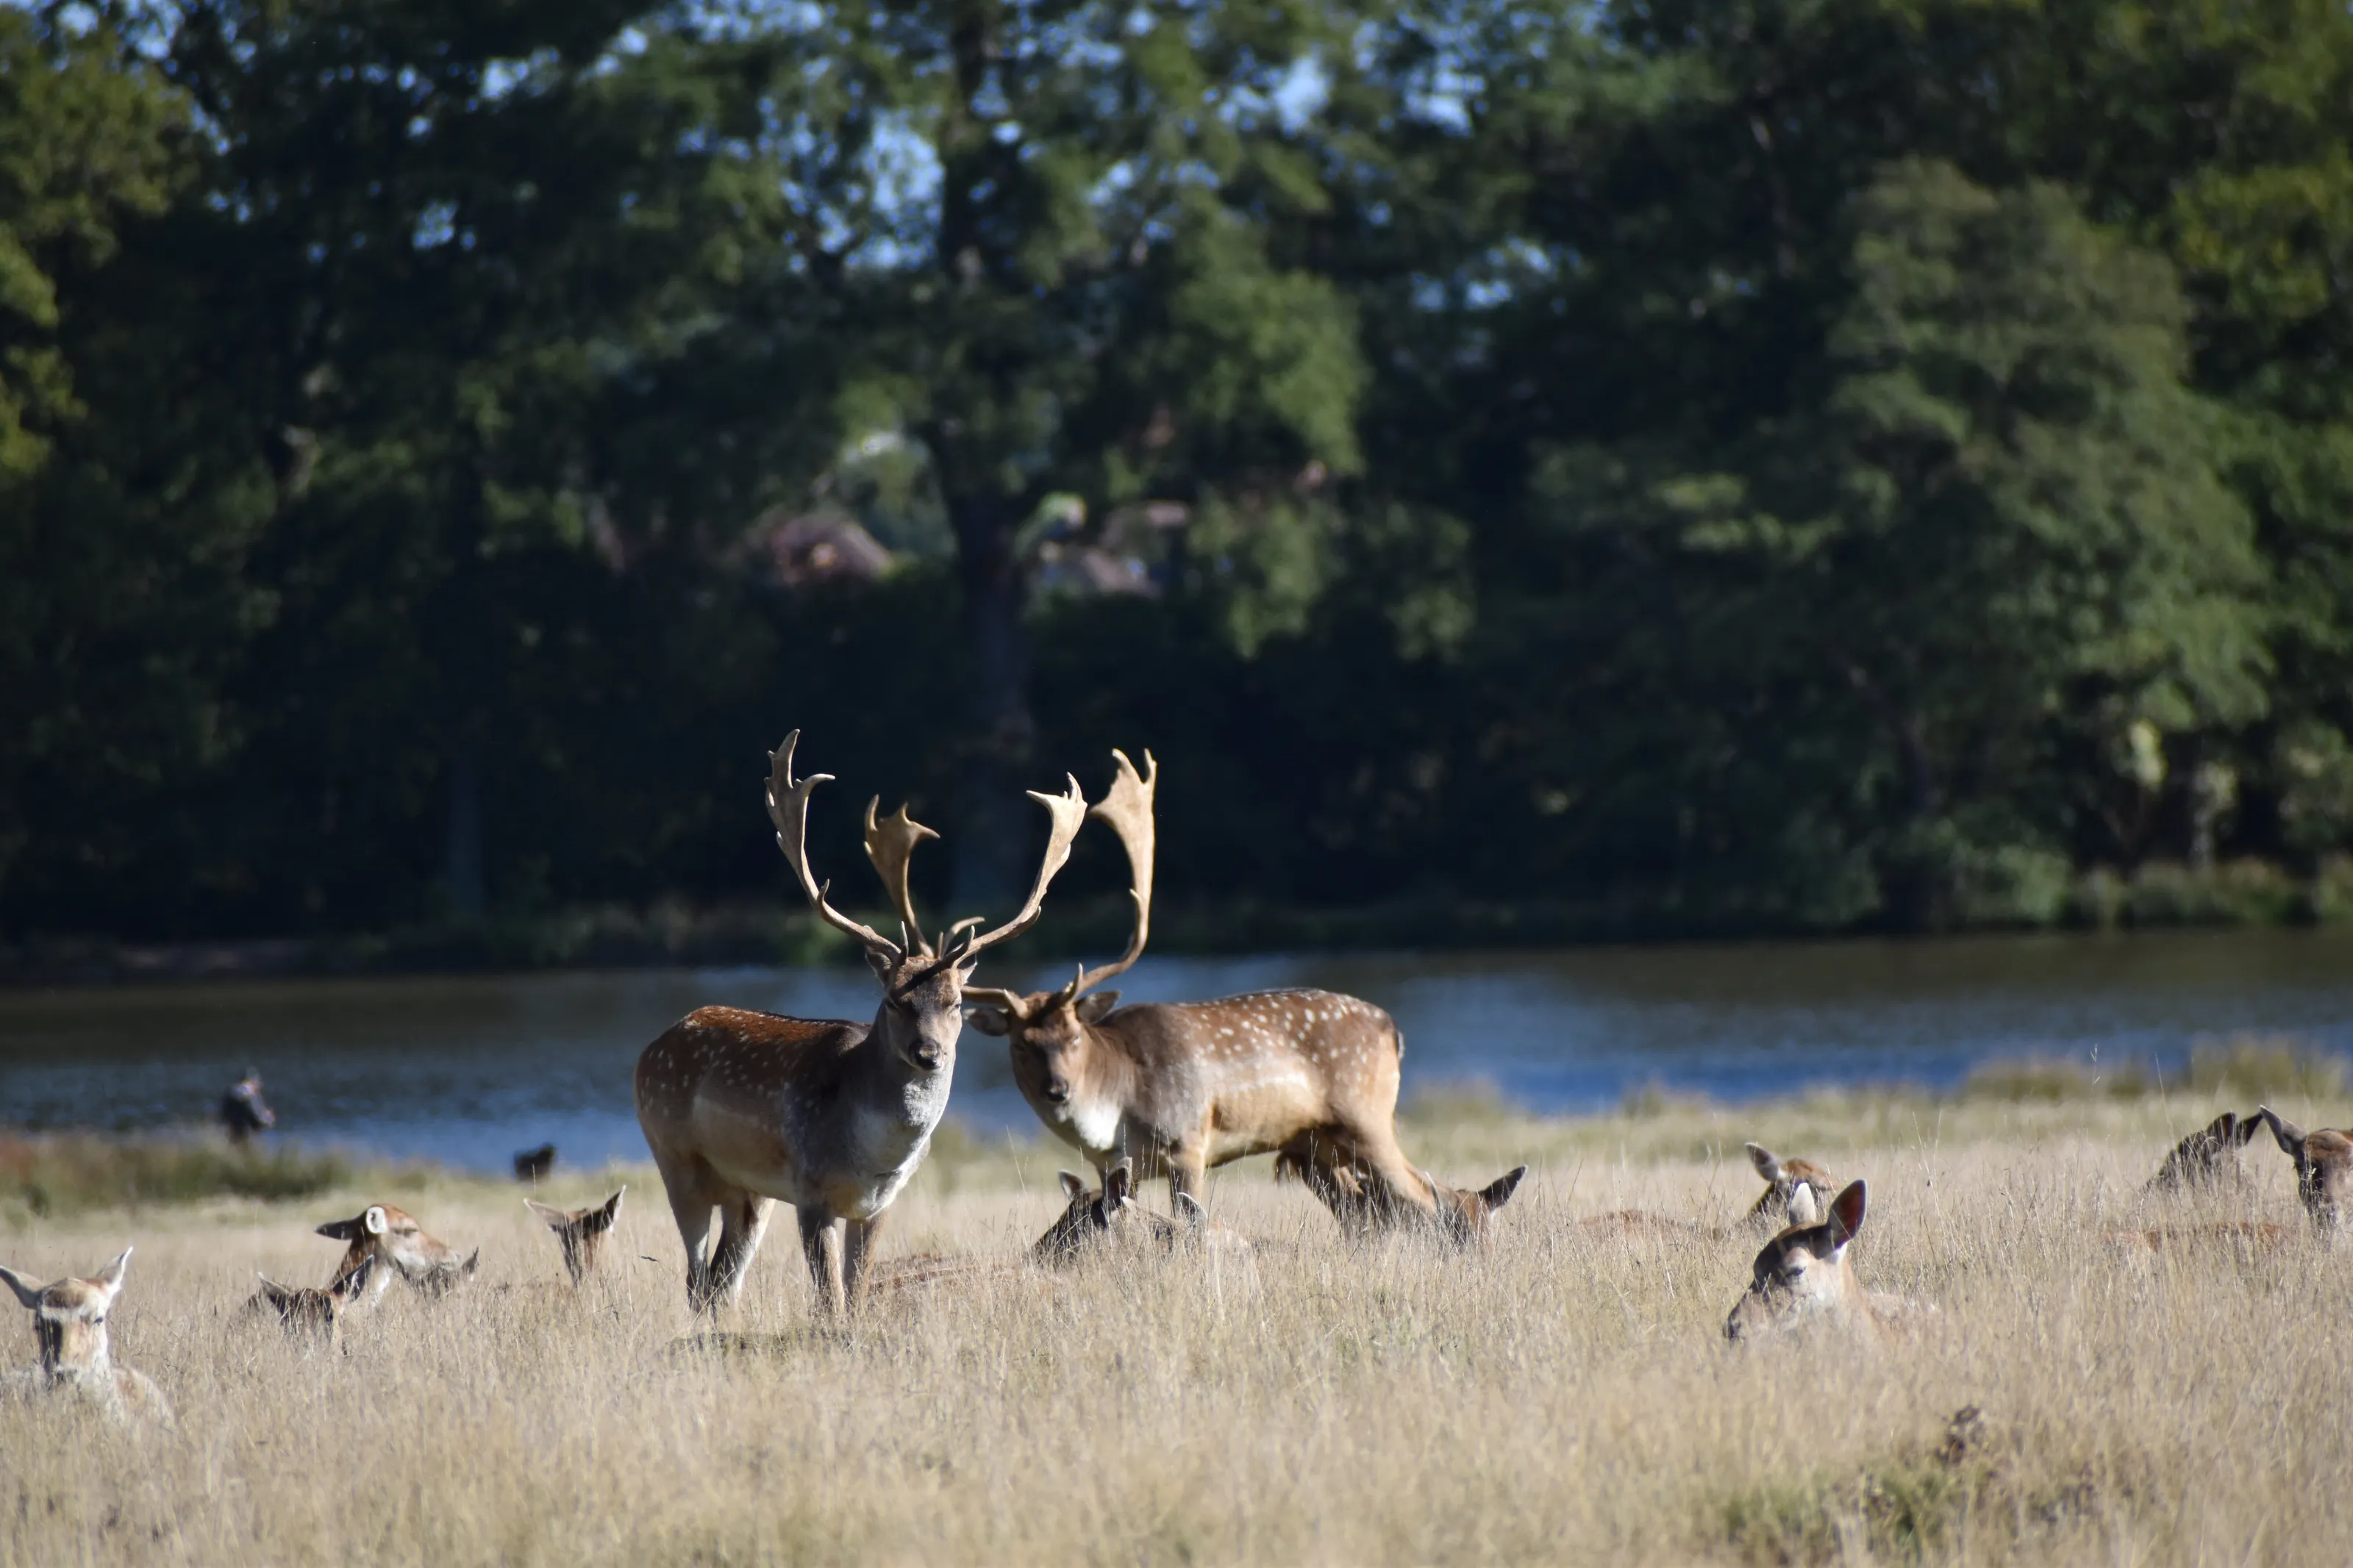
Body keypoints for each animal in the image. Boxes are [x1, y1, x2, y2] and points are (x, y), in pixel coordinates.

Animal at [636, 731, 1086, 1316]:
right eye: (893, 1000)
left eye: (955, 1003)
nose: (929, 1053)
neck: (870, 1154)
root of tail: (653, 1046)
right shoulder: (810, 1192)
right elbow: (831, 1299)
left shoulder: (877, 1205)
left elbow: (857, 1294)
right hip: (675, 1158)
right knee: (694, 1279)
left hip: (749, 1192)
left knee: (719, 1283)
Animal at [966, 750, 1523, 1243]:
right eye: (1021, 1043)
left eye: (1075, 1036)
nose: (1057, 1089)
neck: (1114, 1112)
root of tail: (1393, 1029)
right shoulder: (1114, 1166)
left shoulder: (1188, 1141)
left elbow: (1189, 1221)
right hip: (1316, 1142)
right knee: (1372, 1210)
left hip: (1367, 1115)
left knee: (1424, 1196)